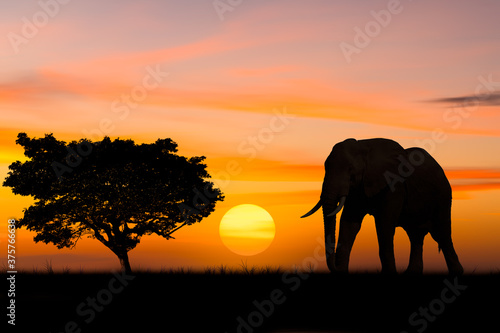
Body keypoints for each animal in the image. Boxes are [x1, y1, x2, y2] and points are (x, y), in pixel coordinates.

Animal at [300, 136, 464, 274]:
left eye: (351, 171)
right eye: (325, 167)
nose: (337, 268)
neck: (363, 147)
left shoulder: (393, 185)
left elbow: (384, 224)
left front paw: (389, 274)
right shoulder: (358, 190)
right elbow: (349, 224)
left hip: (443, 197)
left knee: (442, 234)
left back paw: (457, 273)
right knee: (416, 235)